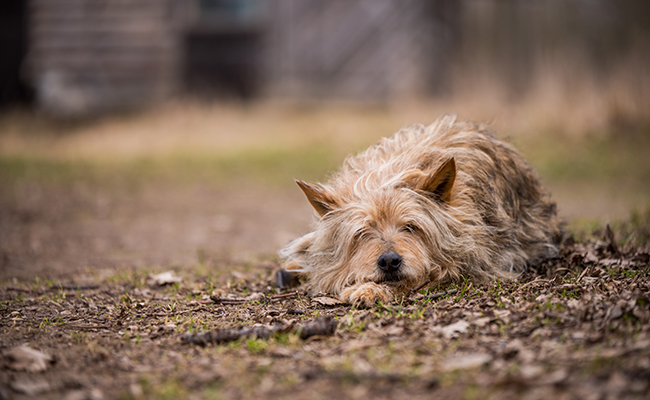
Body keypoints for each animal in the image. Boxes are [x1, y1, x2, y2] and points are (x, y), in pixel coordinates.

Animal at [280, 115, 560, 306]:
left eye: (411, 227)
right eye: (362, 233)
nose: (389, 262)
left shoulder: (476, 261)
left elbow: (425, 276)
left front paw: (369, 289)